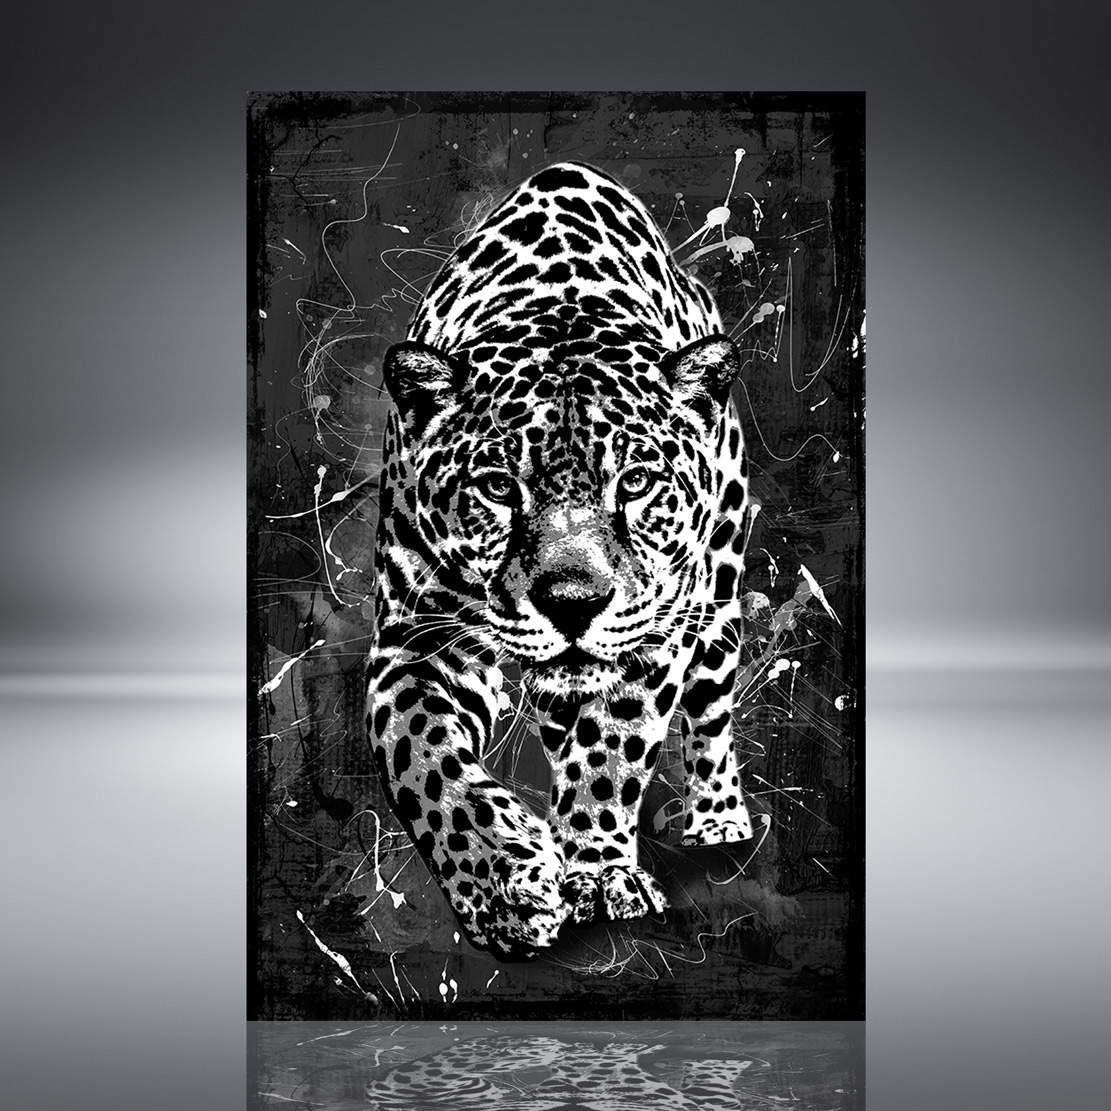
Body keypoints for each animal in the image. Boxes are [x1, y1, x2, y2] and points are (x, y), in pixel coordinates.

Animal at [366, 161, 755, 959]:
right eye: (496, 486)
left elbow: (610, 751)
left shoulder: (653, 637)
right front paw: (503, 885)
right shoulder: (416, 641)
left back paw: (718, 820)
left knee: (709, 714)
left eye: (633, 482)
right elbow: (423, 762)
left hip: (718, 603)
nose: (572, 603)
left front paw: (599, 871)